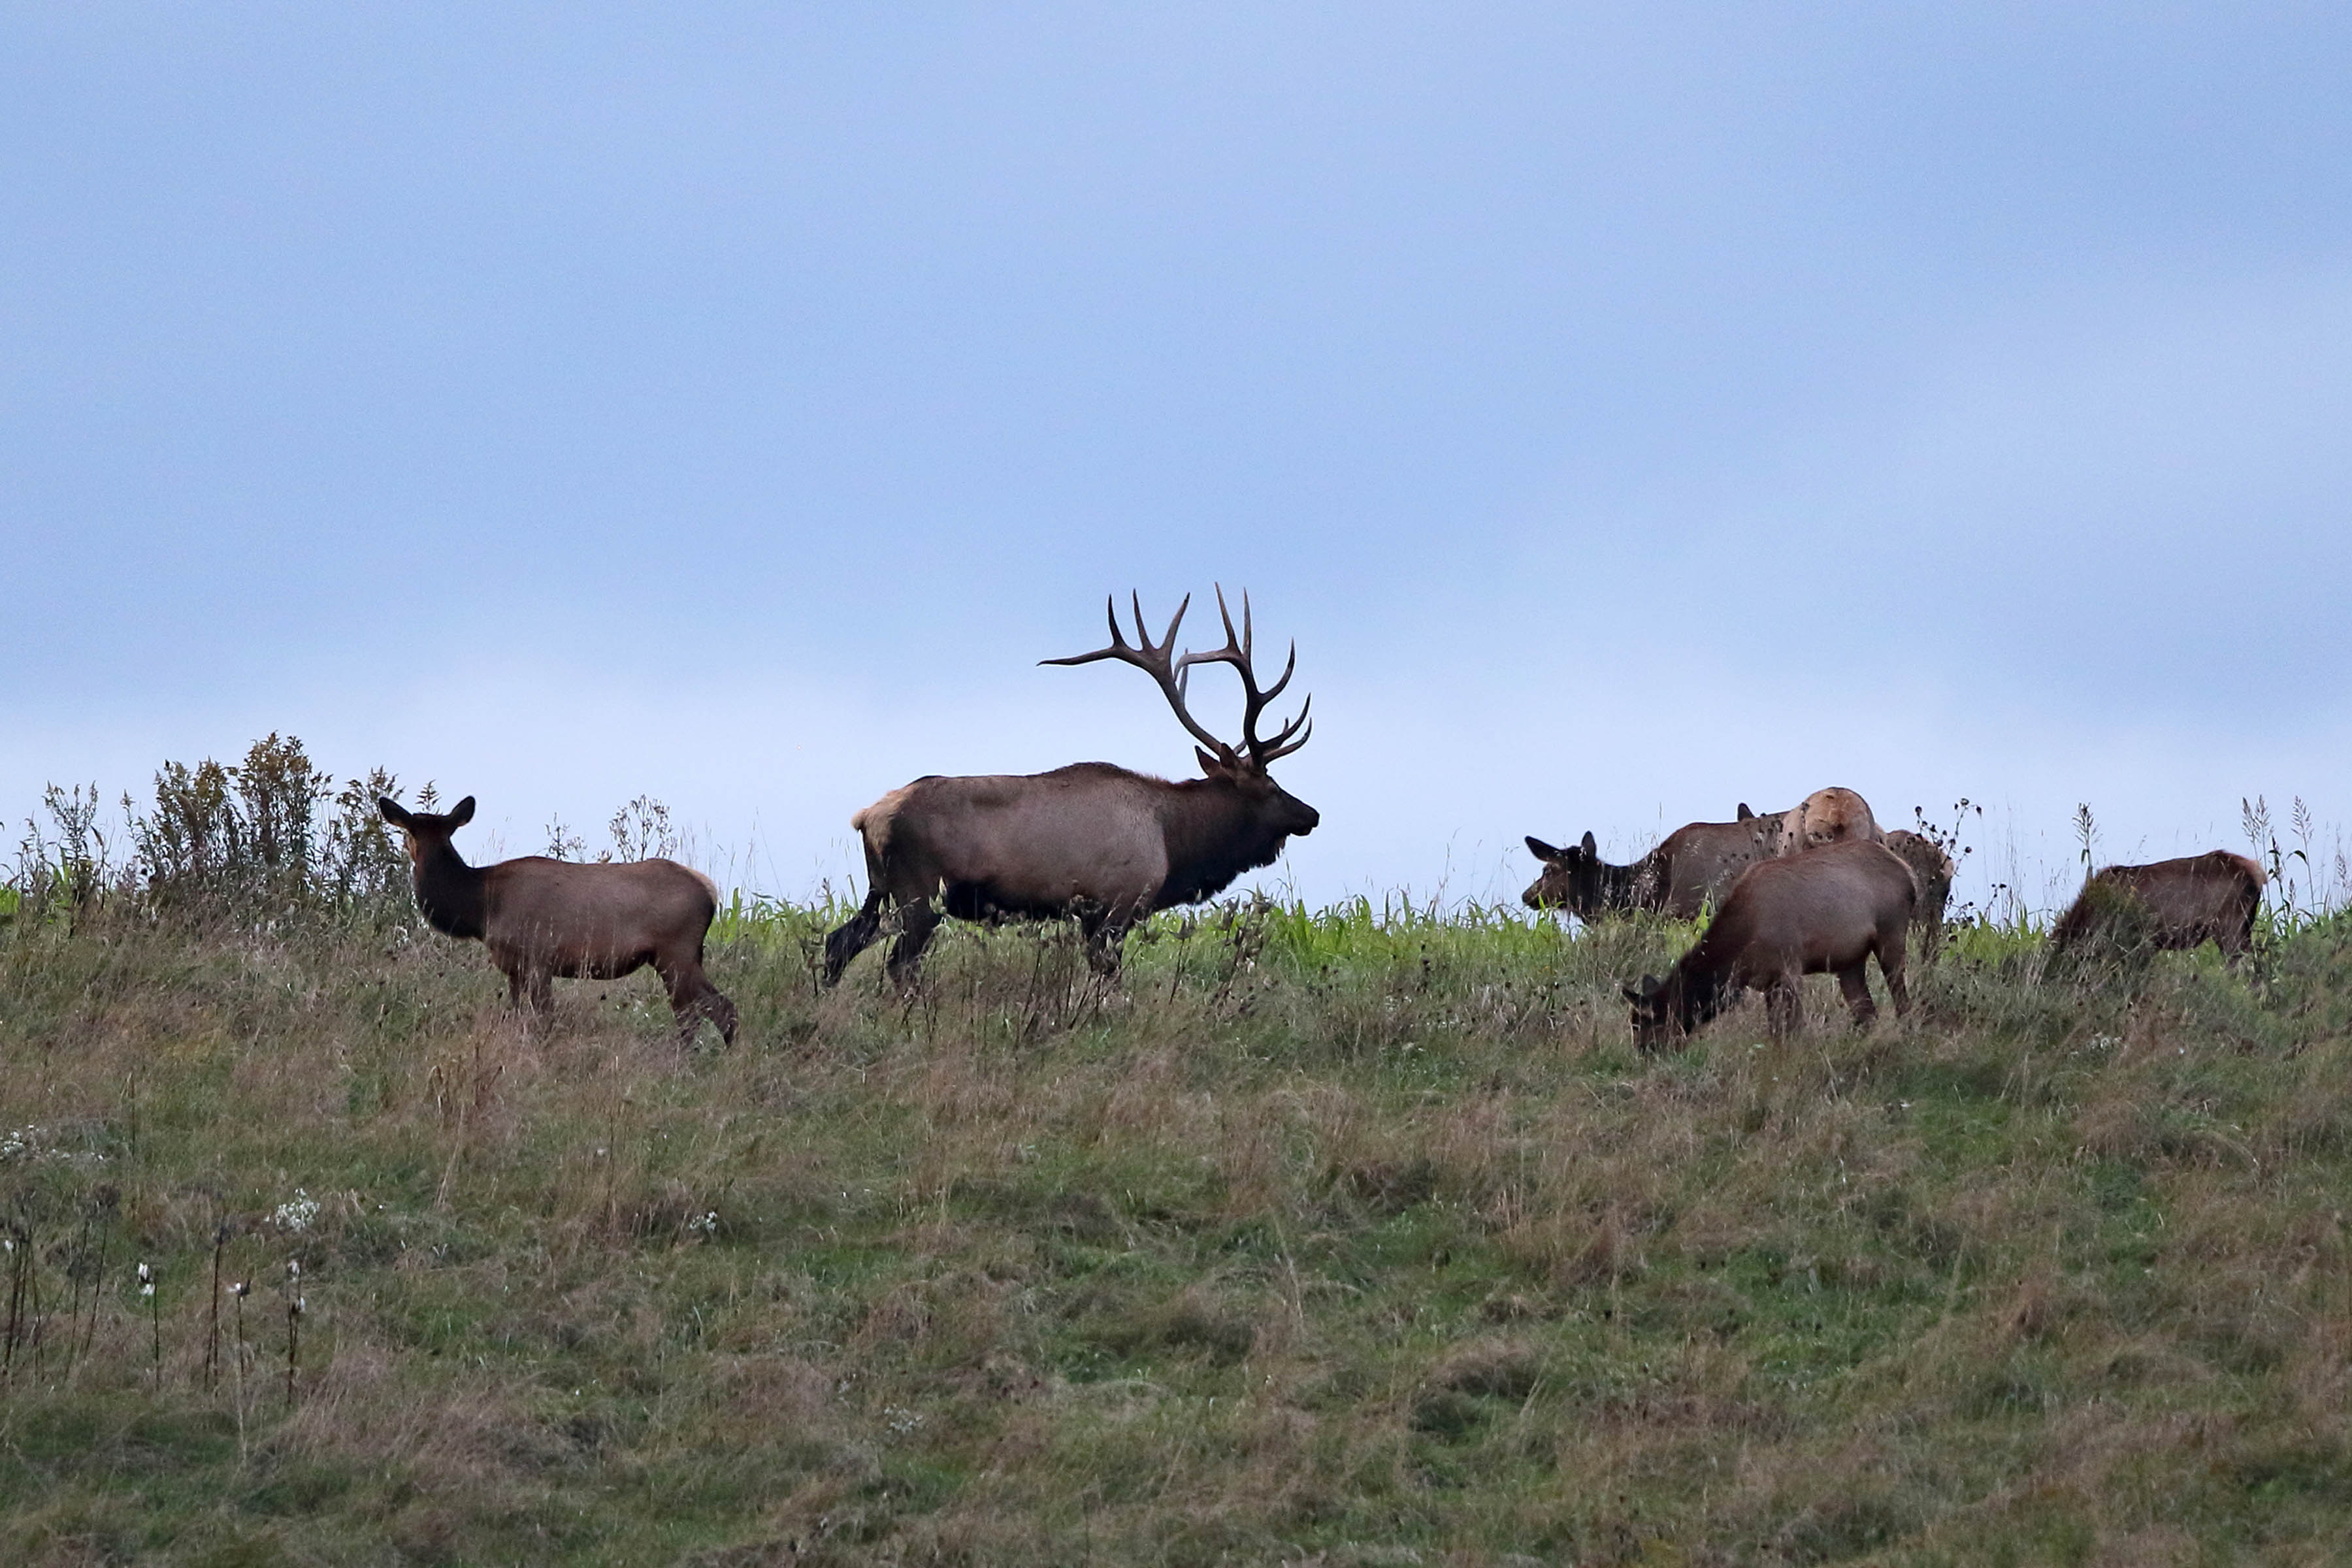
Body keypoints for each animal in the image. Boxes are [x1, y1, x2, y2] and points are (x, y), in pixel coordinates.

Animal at [376, 799, 734, 1043]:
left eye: (407, 833)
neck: (479, 909)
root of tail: (710, 890)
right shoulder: (516, 968)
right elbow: (518, 1015)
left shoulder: (538, 959)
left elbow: (542, 1019)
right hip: (682, 957)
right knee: (707, 1010)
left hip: (676, 953)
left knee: (707, 1011)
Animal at [823, 587, 1326, 983]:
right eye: (1270, 786)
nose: (1313, 814)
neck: (1175, 841)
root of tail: (865, 817)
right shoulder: (1116, 905)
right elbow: (1109, 981)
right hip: (919, 892)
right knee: (897, 965)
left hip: (880, 888)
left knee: (839, 942)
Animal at [1627, 841, 1919, 1048]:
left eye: (1649, 1024)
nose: (1645, 1054)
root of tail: (1909, 872)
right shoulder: (1767, 981)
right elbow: (1776, 1031)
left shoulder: (1789, 969)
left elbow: (1793, 1029)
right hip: (1849, 960)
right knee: (1867, 1013)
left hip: (1891, 933)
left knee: (1902, 1001)